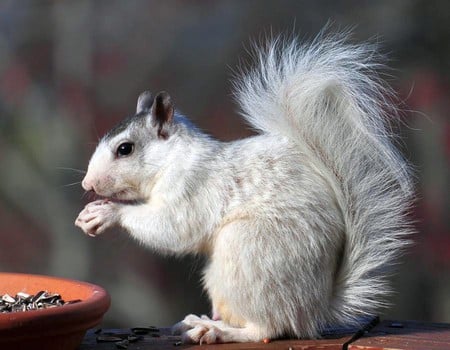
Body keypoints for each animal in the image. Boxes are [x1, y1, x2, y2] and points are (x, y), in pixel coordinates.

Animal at [74, 31, 414, 344]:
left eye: (125, 149)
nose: (87, 184)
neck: (173, 158)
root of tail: (315, 309)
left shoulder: (193, 187)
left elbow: (173, 227)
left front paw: (107, 214)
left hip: (248, 253)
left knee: (267, 328)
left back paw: (217, 330)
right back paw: (202, 321)